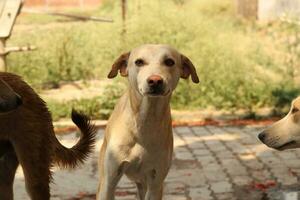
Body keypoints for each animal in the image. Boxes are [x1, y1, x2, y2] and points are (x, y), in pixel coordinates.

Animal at [96, 45, 199, 200]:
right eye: (139, 62)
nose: (155, 80)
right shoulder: (109, 181)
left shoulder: (155, 183)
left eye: (169, 62)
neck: (145, 120)